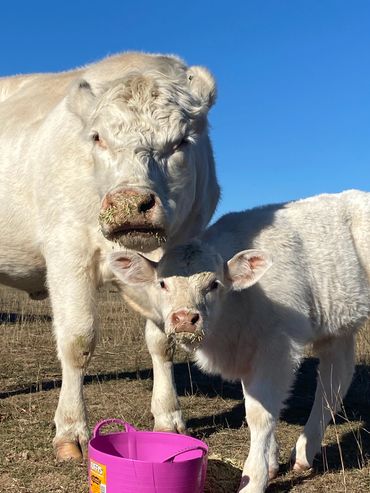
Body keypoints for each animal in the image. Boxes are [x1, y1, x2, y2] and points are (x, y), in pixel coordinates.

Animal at [0, 52, 220, 458]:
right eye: (97, 137)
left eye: (182, 141)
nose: (130, 203)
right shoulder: (68, 251)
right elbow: (77, 340)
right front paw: (71, 429)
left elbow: (163, 341)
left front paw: (168, 416)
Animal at [110, 189, 370, 492]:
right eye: (162, 284)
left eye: (214, 284)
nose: (185, 318)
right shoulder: (248, 351)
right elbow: (260, 407)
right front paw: (271, 463)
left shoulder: (277, 348)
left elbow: (260, 414)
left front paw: (253, 479)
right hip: (337, 329)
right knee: (333, 383)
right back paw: (305, 452)